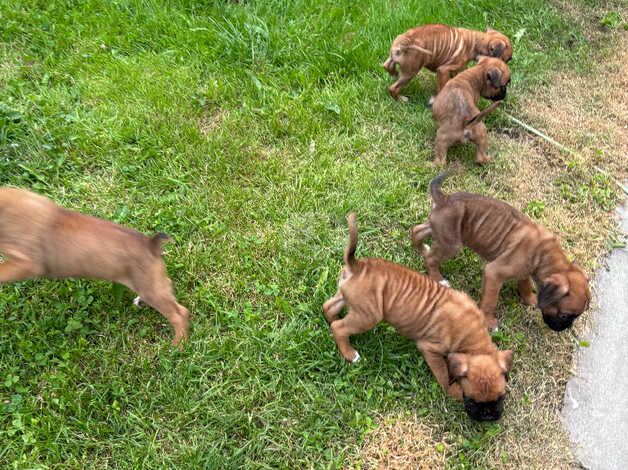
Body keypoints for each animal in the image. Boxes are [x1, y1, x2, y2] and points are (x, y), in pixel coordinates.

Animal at [0, 187, 189, 346]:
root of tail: (151, 244)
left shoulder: (27, 263)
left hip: (151, 289)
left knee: (180, 313)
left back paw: (177, 346)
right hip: (152, 283)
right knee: (169, 289)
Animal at [322, 213, 512, 422]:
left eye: (501, 397)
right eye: (470, 400)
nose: (488, 416)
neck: (472, 339)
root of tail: (357, 266)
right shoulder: (430, 349)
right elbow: (443, 374)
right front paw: (451, 391)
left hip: (349, 301)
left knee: (329, 307)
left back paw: (333, 320)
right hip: (367, 316)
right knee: (339, 328)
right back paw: (349, 353)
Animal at [382, 24, 510, 100]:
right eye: (508, 59)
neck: (476, 42)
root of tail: (405, 41)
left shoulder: (454, 70)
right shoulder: (443, 70)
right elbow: (442, 86)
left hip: (394, 59)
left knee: (387, 66)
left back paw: (393, 73)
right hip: (410, 72)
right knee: (393, 88)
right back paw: (400, 99)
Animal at [410, 174, 592, 332]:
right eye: (564, 316)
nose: (566, 328)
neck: (544, 254)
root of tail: (444, 199)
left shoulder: (524, 272)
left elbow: (525, 285)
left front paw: (531, 299)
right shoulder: (494, 273)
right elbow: (491, 300)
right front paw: (488, 322)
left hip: (438, 228)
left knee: (417, 230)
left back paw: (421, 247)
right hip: (451, 244)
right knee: (431, 258)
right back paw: (437, 278)